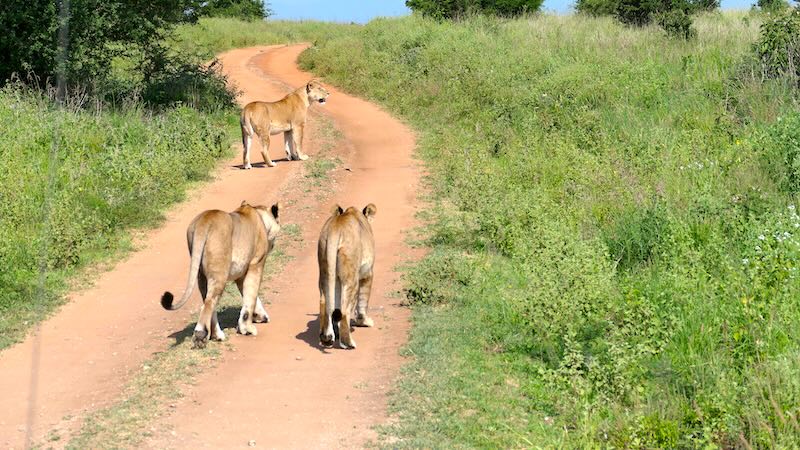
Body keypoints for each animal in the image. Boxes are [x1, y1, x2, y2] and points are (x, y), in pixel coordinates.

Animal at [160, 201, 281, 348]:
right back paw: (201, 336)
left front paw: (259, 316)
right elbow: (251, 297)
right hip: (220, 272)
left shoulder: (241, 274)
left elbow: (250, 296)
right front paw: (248, 328)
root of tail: (205, 220)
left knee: (208, 300)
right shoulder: (256, 264)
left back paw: (217, 335)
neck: (258, 214)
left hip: (201, 274)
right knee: (209, 303)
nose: (273, 245)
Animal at [317, 203, 377, 349]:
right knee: (344, 310)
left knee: (325, 303)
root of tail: (335, 229)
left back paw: (327, 338)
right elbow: (363, 301)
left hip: (325, 272)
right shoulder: (367, 273)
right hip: (351, 278)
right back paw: (348, 343)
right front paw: (365, 322)